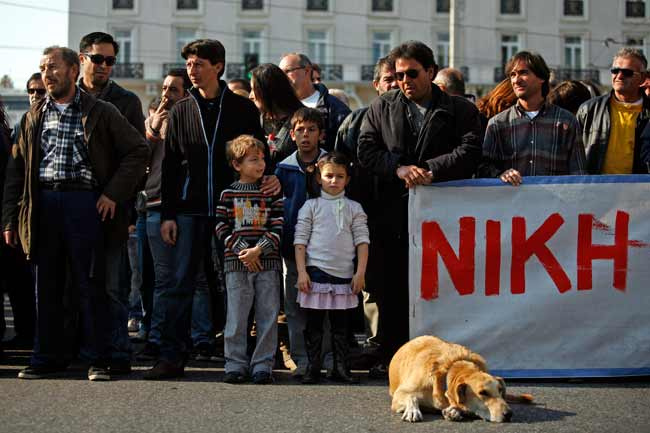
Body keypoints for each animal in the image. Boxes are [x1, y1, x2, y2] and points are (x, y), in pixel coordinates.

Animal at [388, 334, 528, 422]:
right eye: (482, 393)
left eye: (500, 390)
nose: (509, 414)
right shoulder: (400, 393)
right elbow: (412, 397)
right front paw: (412, 411)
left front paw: (454, 411)